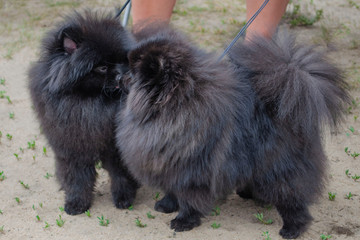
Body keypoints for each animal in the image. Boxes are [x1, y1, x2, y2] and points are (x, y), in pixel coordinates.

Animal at [27, 12, 138, 216]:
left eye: (123, 61)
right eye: (102, 67)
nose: (122, 75)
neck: (91, 105)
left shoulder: (115, 150)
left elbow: (120, 174)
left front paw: (124, 198)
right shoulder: (72, 150)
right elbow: (77, 179)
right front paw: (76, 203)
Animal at [116, 25, 350, 239]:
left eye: (132, 73)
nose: (119, 76)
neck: (173, 109)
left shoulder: (191, 173)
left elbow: (190, 200)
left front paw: (184, 221)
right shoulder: (169, 166)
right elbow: (171, 190)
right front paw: (166, 205)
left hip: (280, 168)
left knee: (292, 199)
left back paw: (292, 228)